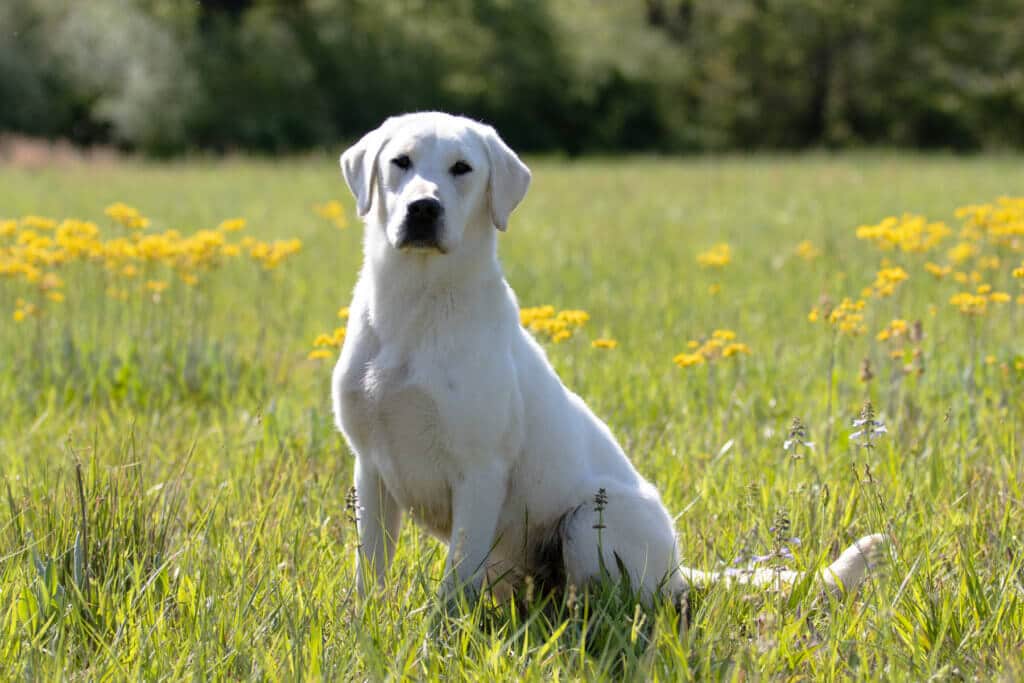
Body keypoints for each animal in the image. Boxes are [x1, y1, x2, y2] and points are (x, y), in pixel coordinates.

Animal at [331, 112, 884, 610]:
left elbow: (453, 583)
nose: (423, 208)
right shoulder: (371, 469)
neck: (417, 302)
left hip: (589, 521)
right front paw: (368, 623)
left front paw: (439, 637)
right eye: (401, 162)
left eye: (462, 168)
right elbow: (369, 568)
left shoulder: (479, 471)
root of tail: (679, 568)